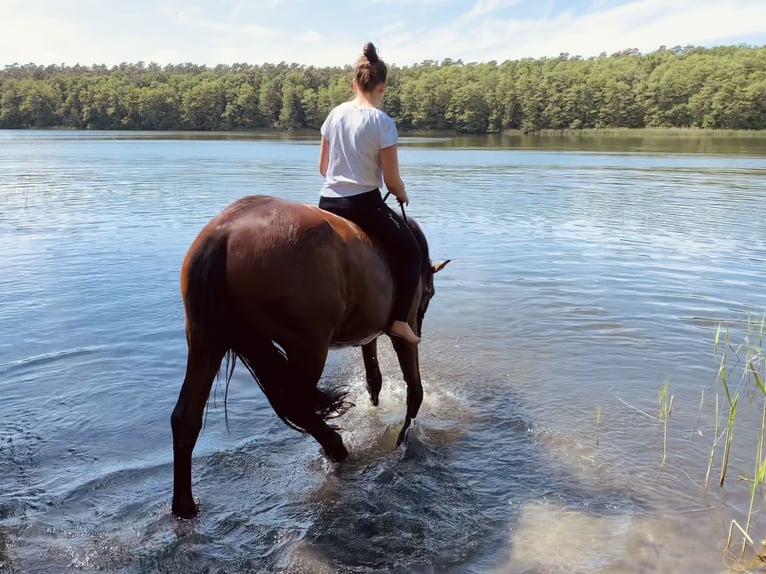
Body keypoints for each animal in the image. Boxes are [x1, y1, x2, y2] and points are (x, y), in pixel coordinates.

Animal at [171, 196, 450, 520]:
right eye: (430, 293)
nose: (422, 323)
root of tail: (223, 234)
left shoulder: (367, 333)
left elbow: (374, 379)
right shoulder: (402, 331)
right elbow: (414, 389)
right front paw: (403, 439)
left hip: (206, 340)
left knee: (185, 419)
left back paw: (184, 506)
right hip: (308, 346)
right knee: (297, 405)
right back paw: (338, 449)